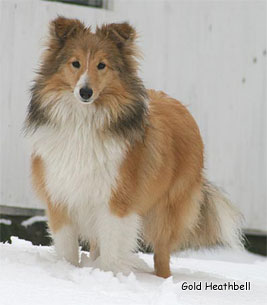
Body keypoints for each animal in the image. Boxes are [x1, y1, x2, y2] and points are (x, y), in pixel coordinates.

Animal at [24, 17, 243, 278]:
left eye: (102, 65)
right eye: (75, 63)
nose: (85, 92)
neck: (84, 122)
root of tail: (183, 108)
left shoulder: (116, 200)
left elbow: (112, 246)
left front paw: (108, 275)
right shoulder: (61, 195)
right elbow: (68, 247)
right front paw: (69, 270)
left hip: (166, 212)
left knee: (162, 254)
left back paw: (162, 280)